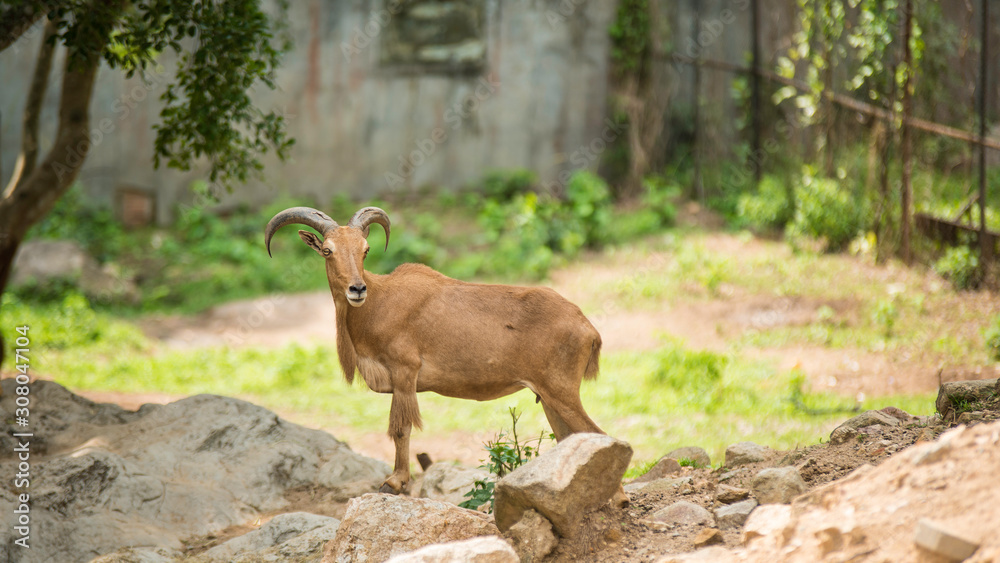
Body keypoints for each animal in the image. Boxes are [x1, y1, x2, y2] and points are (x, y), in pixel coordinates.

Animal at [265, 206, 622, 502]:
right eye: (328, 250)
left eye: (365, 250)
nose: (357, 289)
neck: (377, 304)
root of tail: (587, 327)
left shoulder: (404, 372)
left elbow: (401, 429)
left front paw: (394, 483)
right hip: (548, 398)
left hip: (561, 393)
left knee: (598, 434)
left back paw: (617, 498)